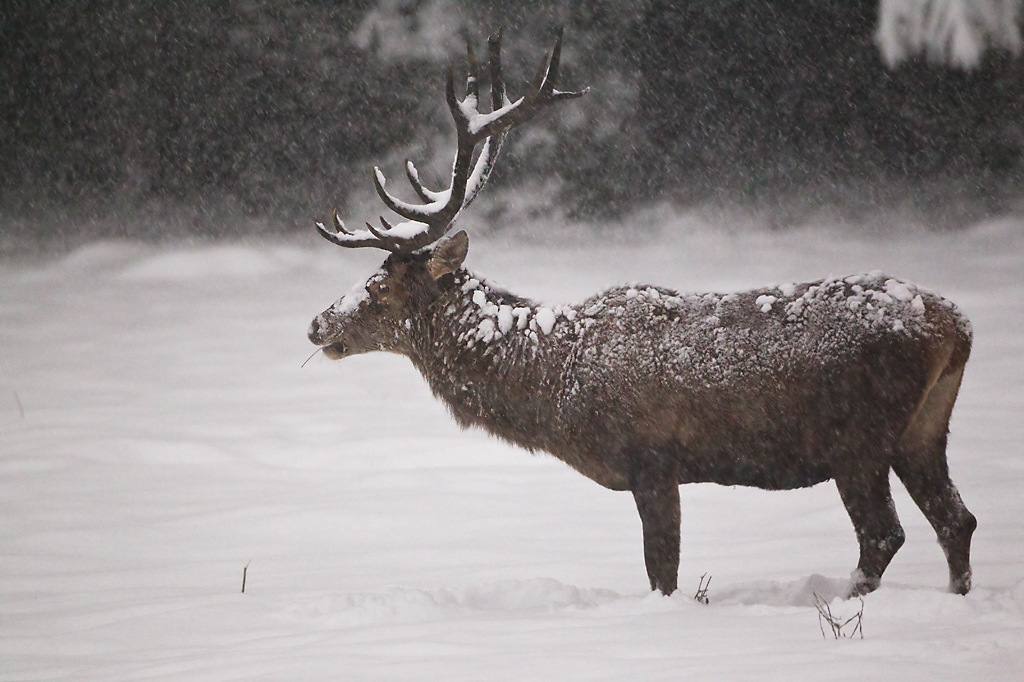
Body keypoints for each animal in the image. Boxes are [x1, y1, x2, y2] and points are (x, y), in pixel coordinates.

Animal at [309, 30, 974, 593]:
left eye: (379, 287)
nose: (317, 323)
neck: (557, 381)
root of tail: (957, 327)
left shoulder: (652, 458)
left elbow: (663, 572)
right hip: (922, 430)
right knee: (956, 521)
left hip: (858, 436)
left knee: (883, 535)